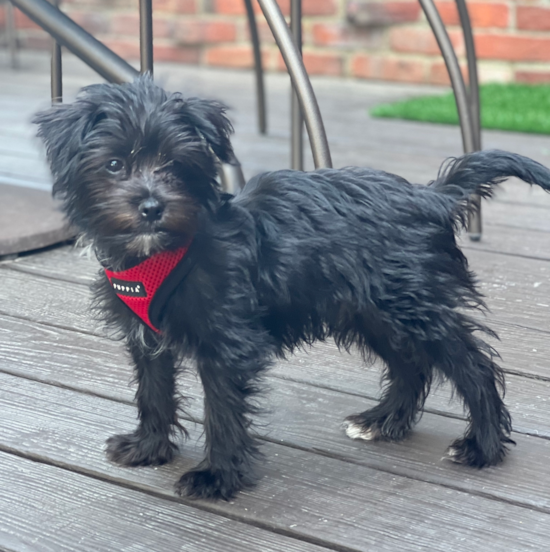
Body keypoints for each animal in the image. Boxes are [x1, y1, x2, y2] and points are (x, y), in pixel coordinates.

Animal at [33, 76, 550, 500]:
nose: (151, 206)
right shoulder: (146, 338)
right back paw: (383, 422)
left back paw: (482, 445)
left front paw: (218, 476)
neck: (163, 251)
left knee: (472, 366)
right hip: (371, 314)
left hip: (414, 306)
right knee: (411, 365)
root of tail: (430, 196)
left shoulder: (227, 343)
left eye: (175, 165)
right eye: (114, 164)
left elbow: (222, 411)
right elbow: (153, 392)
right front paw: (149, 447)